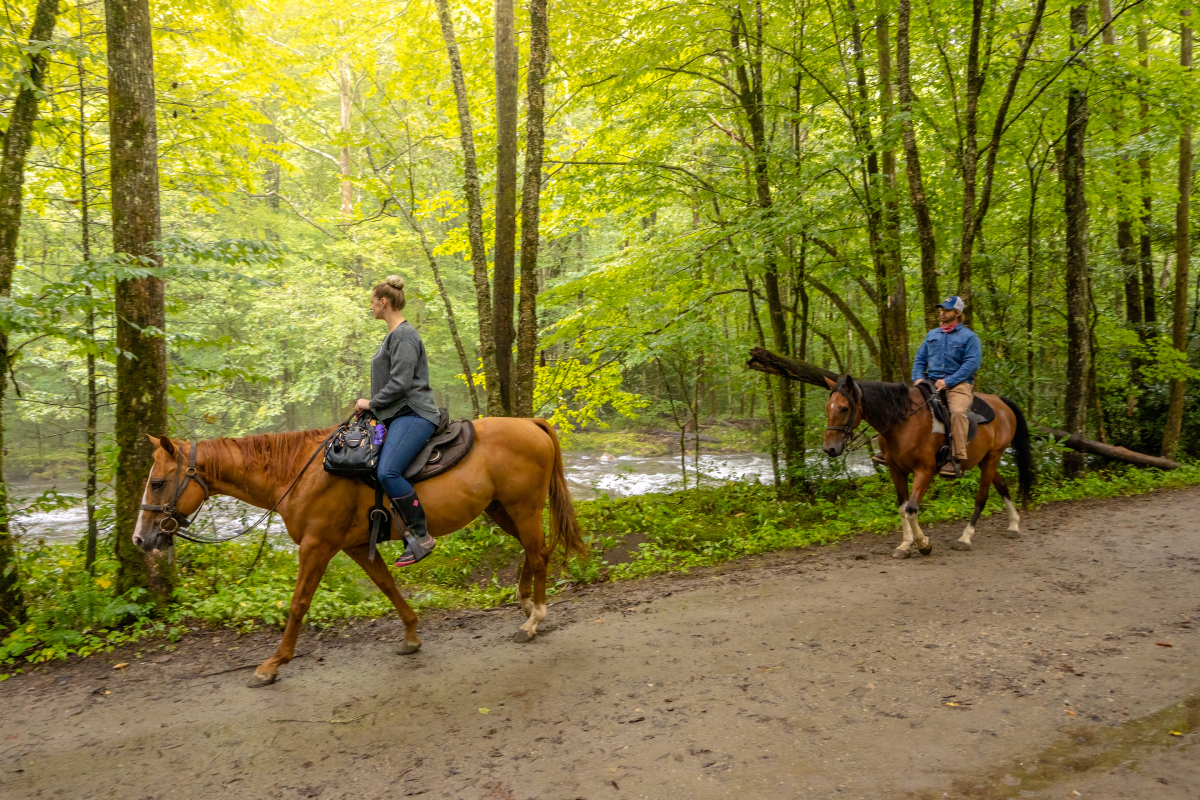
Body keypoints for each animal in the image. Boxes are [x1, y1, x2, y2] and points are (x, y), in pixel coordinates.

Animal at [131, 419, 585, 690]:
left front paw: (273, 664)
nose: (139, 539)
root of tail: (530, 423)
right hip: (500, 509)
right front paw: (411, 635)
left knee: (538, 554)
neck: (299, 473)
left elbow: (298, 604)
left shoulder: (317, 545)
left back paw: (534, 620)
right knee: (536, 551)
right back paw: (525, 604)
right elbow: (386, 585)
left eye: (157, 482)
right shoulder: (352, 546)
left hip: (523, 507)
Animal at [820, 376, 1036, 561]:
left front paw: (923, 544)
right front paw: (905, 545)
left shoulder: (924, 471)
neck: (903, 422)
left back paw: (965, 538)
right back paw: (1014, 525)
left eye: (844, 408)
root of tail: (1000, 402)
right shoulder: (896, 470)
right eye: (828, 408)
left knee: (981, 498)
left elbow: (911, 509)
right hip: (984, 460)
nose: (830, 449)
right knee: (1002, 485)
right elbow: (902, 508)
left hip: (992, 457)